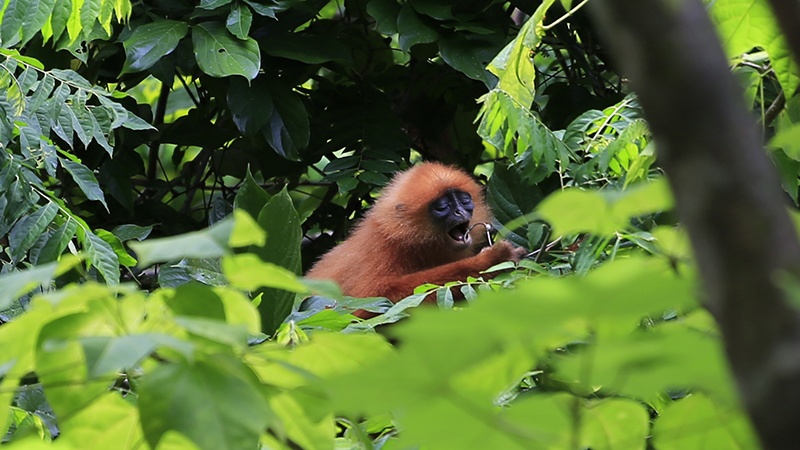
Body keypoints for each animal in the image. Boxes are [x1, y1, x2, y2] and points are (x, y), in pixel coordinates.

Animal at [306, 162, 526, 318]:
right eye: (443, 207)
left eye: (464, 201)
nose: (460, 211)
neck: (414, 244)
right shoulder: (383, 251)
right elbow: (369, 302)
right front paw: (491, 261)